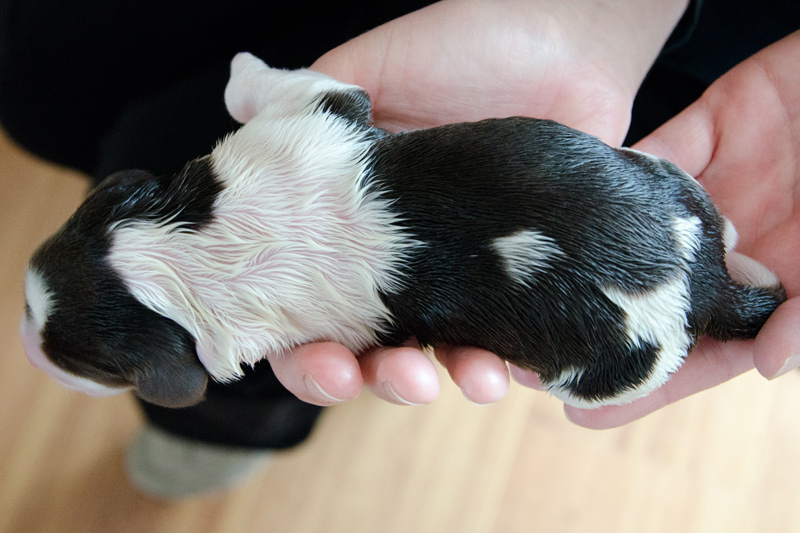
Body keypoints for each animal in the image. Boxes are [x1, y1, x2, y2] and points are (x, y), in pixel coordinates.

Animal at [20, 52, 788, 408]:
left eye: (94, 367)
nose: (25, 347)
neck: (184, 252)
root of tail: (701, 286)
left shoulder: (317, 109)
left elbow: (262, 85)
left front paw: (240, 64)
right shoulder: (314, 122)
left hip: (610, 373)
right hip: (666, 175)